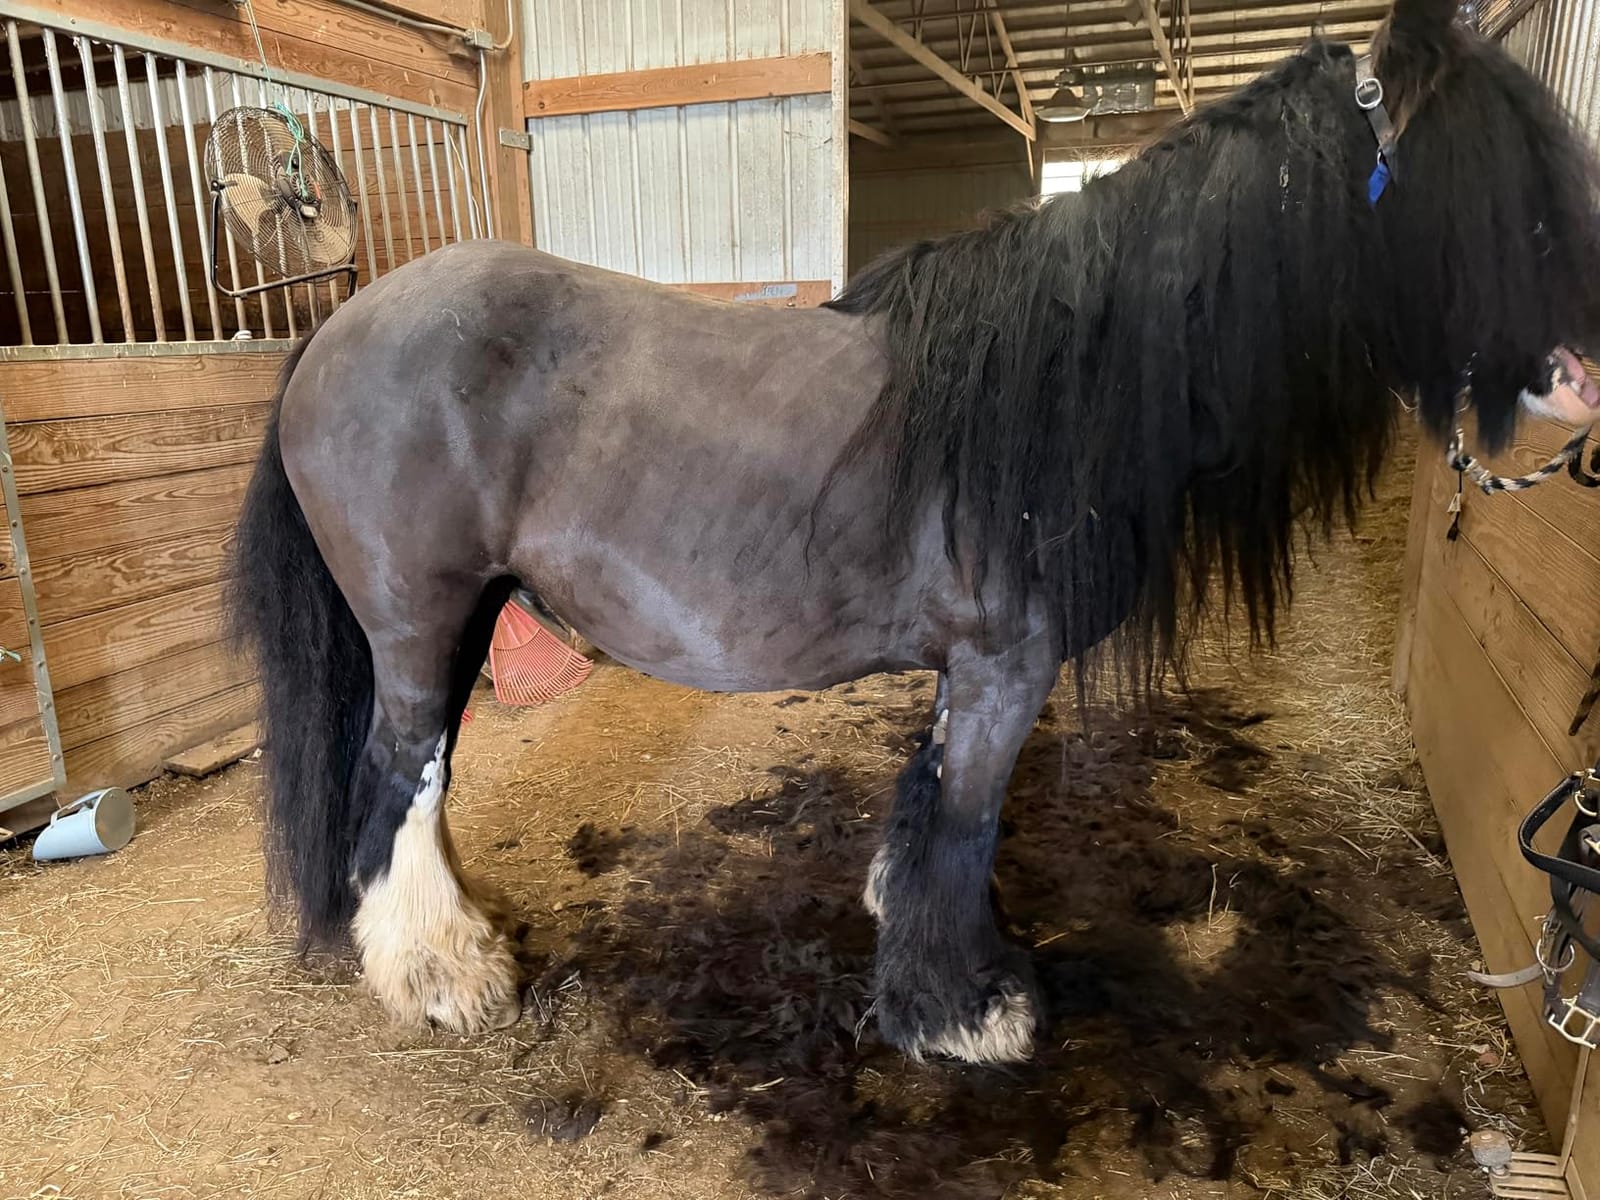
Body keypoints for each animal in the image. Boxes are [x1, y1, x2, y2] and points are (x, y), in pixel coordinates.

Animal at [233, 0, 1600, 1066]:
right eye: (1498, 191)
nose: (1581, 375)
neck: (1063, 381)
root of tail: (340, 324)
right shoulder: (1006, 665)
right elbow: (965, 823)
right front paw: (965, 1011)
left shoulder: (974, 670)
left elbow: (929, 807)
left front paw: (918, 947)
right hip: (418, 622)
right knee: (398, 775)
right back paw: (443, 980)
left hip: (463, 618)